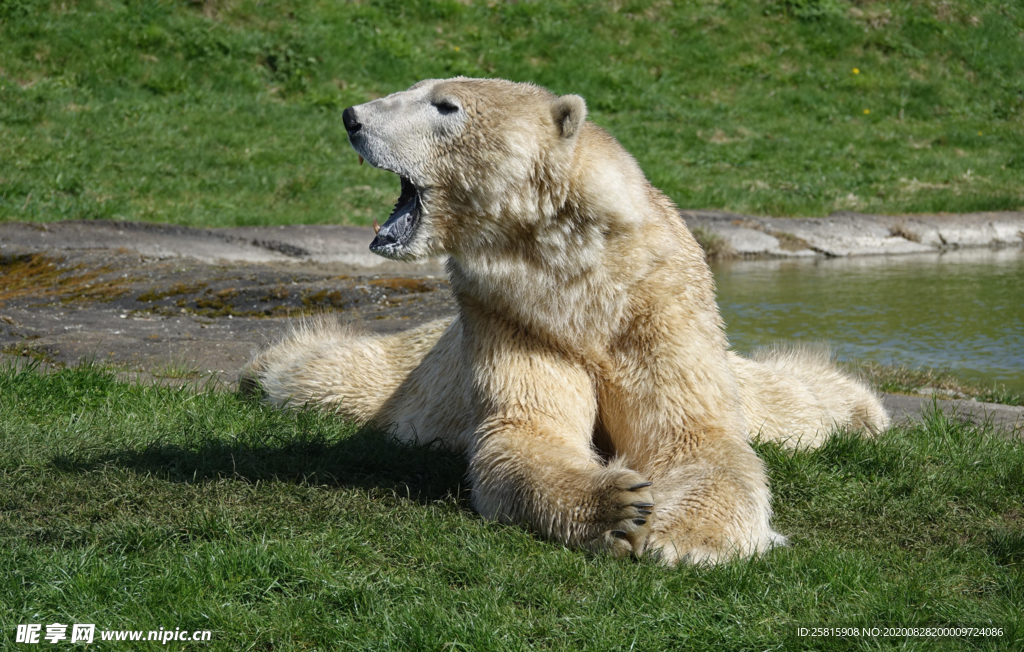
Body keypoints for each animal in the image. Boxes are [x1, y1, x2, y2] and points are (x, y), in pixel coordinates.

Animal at [241, 76, 888, 564]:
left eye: (445, 105)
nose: (352, 117)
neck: (579, 278)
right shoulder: (509, 314)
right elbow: (527, 428)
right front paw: (619, 508)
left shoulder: (658, 305)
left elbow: (693, 433)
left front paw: (687, 538)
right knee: (329, 377)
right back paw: (264, 368)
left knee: (787, 404)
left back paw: (862, 411)